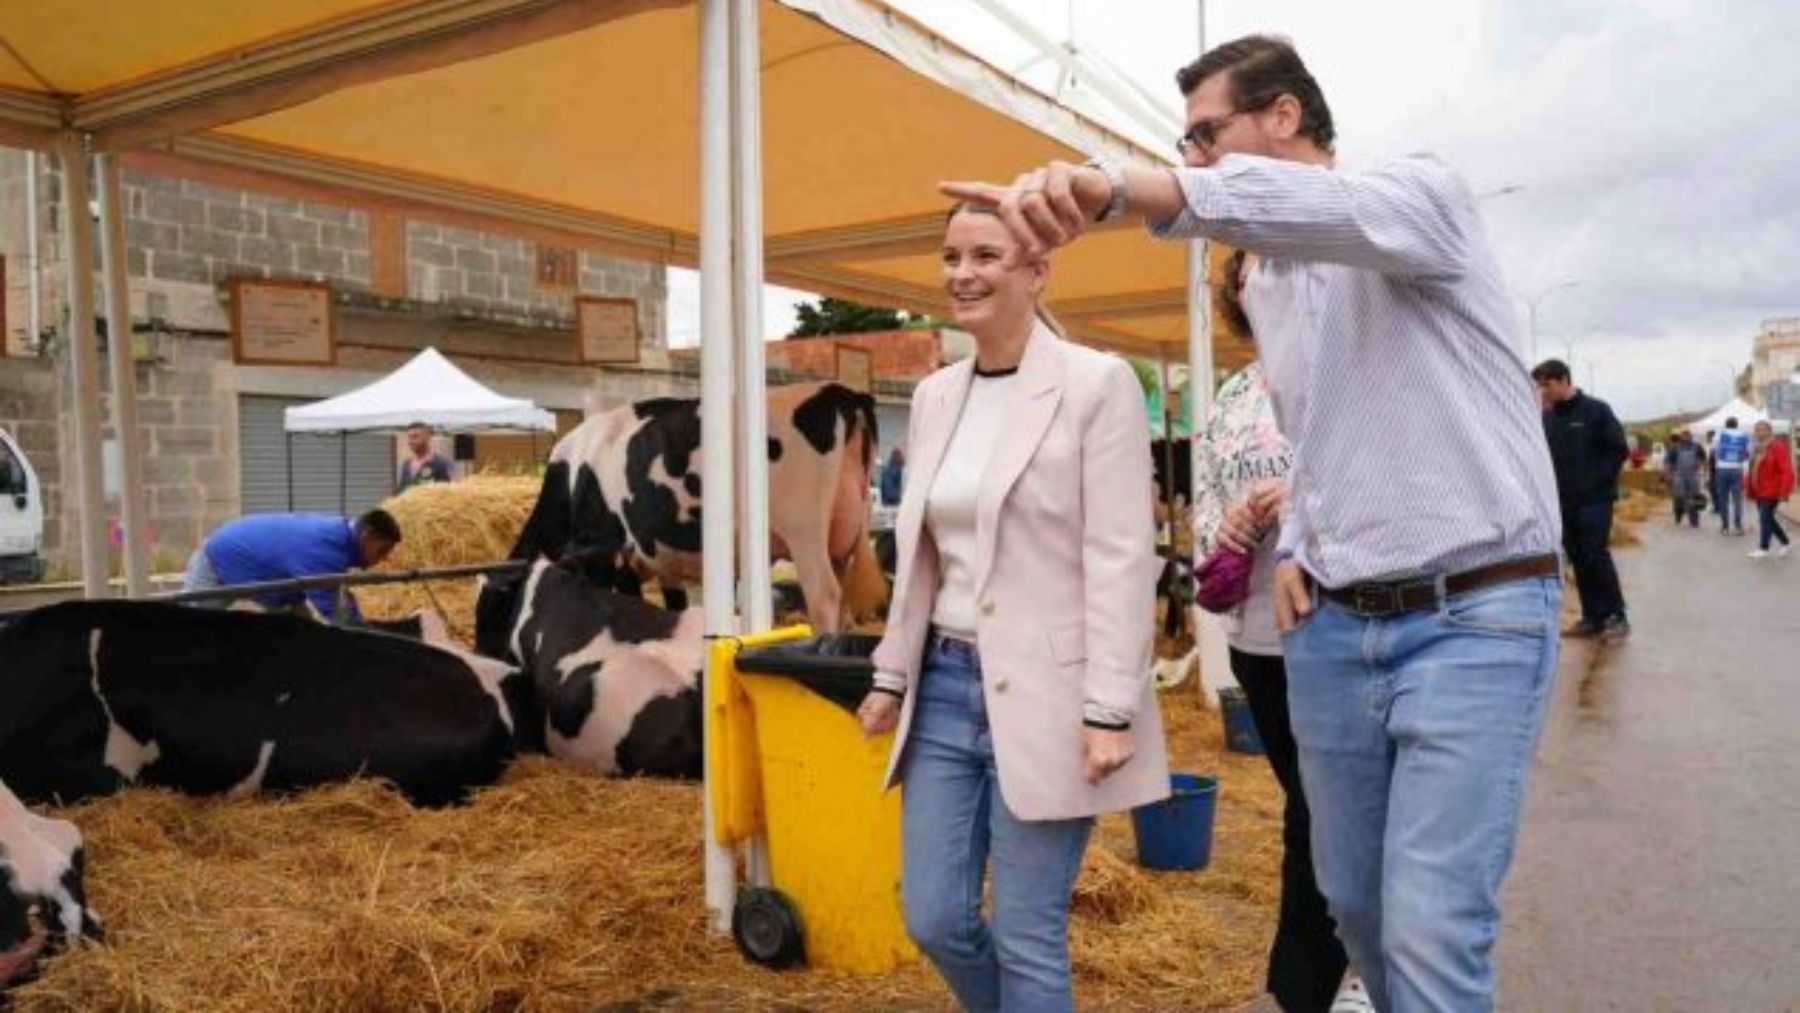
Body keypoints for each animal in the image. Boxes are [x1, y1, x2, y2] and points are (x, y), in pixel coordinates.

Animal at [504, 385, 882, 636]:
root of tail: (841, 393)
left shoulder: (613, 559)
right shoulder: (663, 562)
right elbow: (677, 608)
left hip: (804, 533)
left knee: (824, 596)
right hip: (841, 543)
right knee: (844, 601)